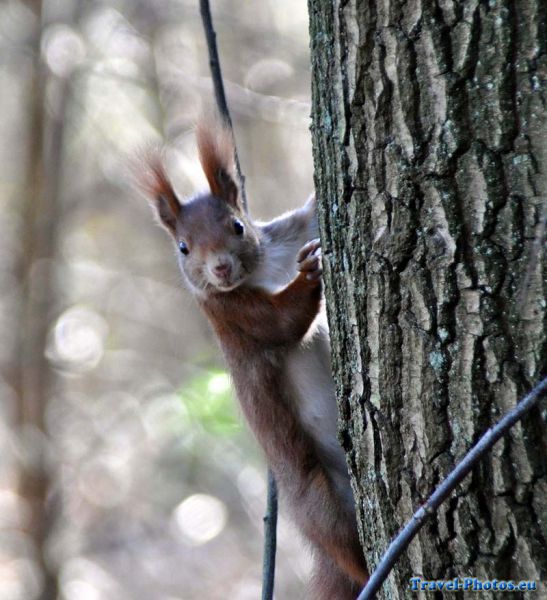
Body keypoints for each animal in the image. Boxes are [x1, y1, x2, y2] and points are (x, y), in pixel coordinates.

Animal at [138, 122, 368, 596]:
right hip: (320, 503)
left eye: (238, 225)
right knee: (345, 545)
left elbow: (309, 215)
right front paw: (310, 272)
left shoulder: (287, 233)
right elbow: (281, 324)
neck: (262, 270)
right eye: (183, 247)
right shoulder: (232, 316)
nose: (221, 269)